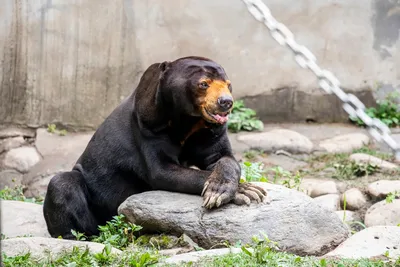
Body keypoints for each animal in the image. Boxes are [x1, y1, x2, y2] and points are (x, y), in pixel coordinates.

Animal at [43, 56, 266, 239]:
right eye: (203, 84)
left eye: (228, 85)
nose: (226, 102)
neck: (188, 121)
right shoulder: (148, 125)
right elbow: (162, 171)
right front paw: (244, 191)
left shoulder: (210, 130)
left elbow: (221, 157)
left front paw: (242, 189)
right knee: (62, 184)